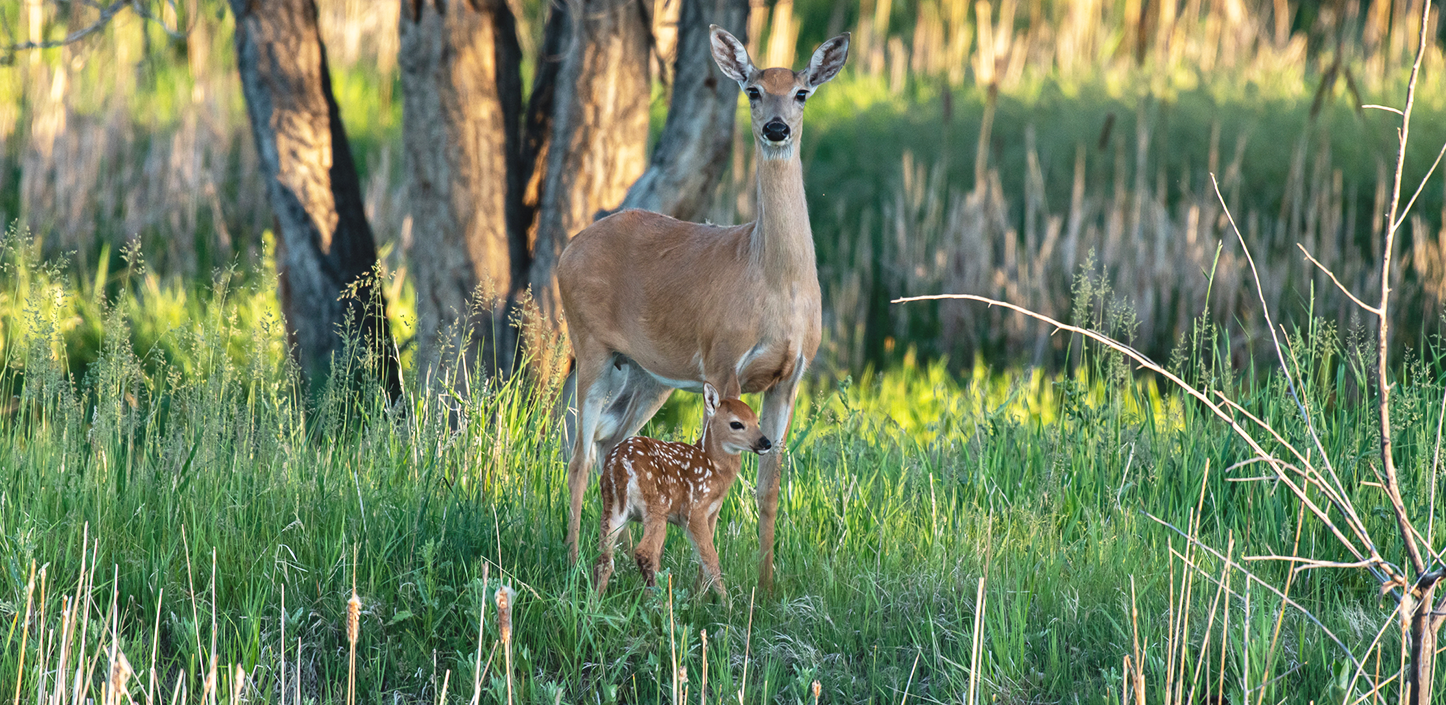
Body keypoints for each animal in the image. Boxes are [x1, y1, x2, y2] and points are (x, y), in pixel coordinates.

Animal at [593, 383, 771, 597]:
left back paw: (595, 602)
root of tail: (620, 463)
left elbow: (702, 560)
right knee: (645, 553)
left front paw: (699, 598)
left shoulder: (710, 513)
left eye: (757, 421)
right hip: (657, 504)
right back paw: (660, 601)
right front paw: (726, 602)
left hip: (612, 507)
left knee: (604, 557)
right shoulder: (694, 509)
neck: (713, 466)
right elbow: (711, 560)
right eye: (736, 424)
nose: (766, 442)